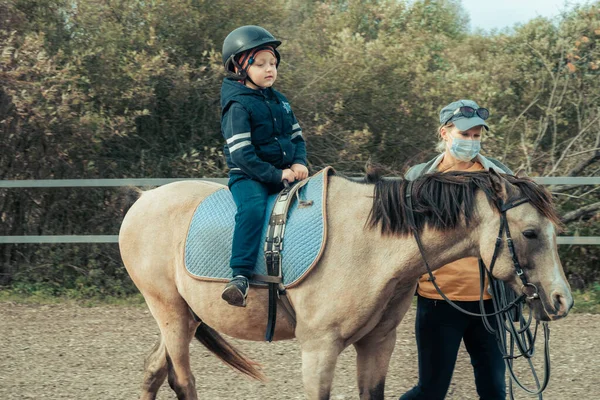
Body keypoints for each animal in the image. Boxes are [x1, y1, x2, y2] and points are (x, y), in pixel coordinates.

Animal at [117, 169, 572, 400]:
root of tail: (145, 199)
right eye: (531, 232)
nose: (560, 300)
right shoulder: (318, 349)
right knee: (182, 381)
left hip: (185, 316)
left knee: (154, 373)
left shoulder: (376, 344)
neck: (366, 244)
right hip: (170, 312)